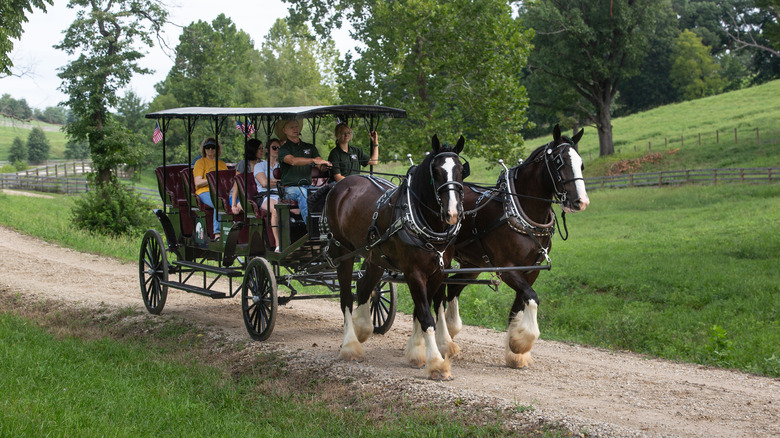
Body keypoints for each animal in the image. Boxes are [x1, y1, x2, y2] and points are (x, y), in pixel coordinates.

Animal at [324, 136, 466, 380]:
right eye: (437, 171)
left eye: (459, 170)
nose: (453, 213)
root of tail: (341, 185)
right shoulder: (414, 273)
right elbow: (426, 316)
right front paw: (436, 363)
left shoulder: (438, 273)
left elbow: (421, 311)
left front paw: (416, 352)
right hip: (343, 253)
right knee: (346, 299)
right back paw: (350, 345)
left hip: (375, 257)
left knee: (364, 287)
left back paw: (363, 328)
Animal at [436, 125, 588, 368]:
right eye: (559, 161)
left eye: (581, 163)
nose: (580, 202)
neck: (518, 209)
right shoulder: (508, 269)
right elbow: (532, 298)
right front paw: (522, 342)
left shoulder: (531, 271)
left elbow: (518, 307)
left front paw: (514, 352)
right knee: (439, 293)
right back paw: (443, 341)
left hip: (472, 265)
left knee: (452, 288)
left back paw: (451, 329)